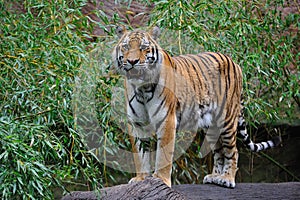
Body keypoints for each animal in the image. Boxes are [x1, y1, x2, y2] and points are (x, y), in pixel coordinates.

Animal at [112, 26, 282, 188]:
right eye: (126, 47)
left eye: (143, 47)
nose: (132, 61)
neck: (142, 88)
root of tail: (234, 62)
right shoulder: (137, 123)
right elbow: (140, 155)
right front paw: (141, 179)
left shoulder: (166, 120)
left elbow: (163, 156)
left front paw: (160, 179)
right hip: (211, 127)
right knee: (219, 152)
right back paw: (215, 177)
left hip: (226, 120)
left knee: (233, 151)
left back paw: (227, 179)